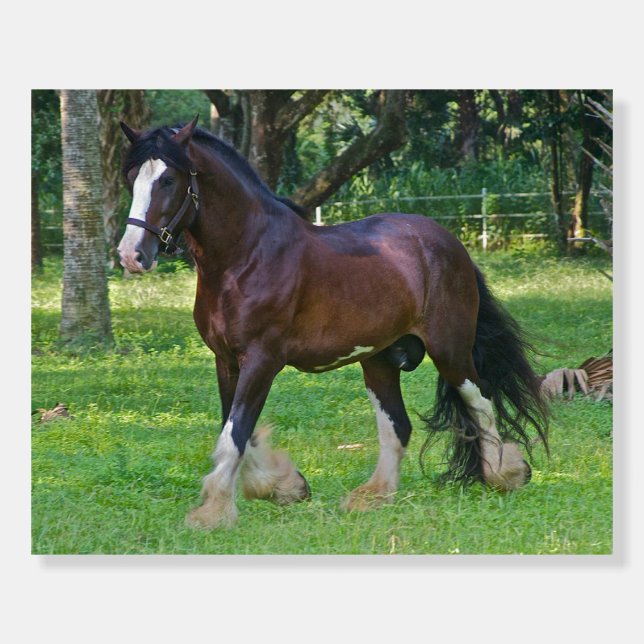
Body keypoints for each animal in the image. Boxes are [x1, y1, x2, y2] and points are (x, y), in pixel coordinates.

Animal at [117, 116, 549, 529]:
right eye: (131, 177)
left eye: (168, 179)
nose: (131, 255)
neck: (248, 255)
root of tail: (449, 242)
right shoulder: (226, 360)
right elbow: (237, 429)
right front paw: (283, 486)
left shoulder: (262, 360)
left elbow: (235, 433)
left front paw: (213, 512)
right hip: (379, 360)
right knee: (398, 426)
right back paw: (372, 496)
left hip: (450, 350)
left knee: (480, 401)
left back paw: (504, 473)